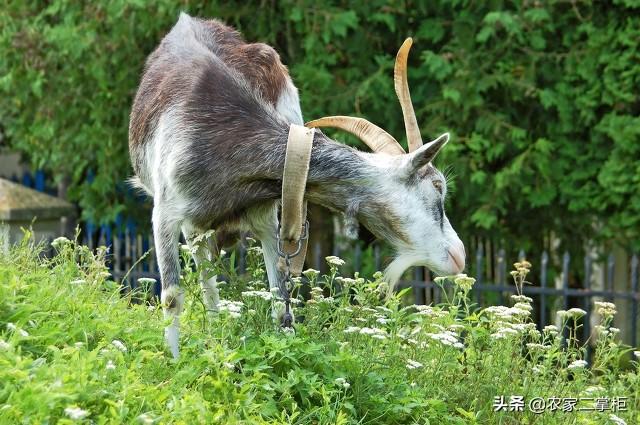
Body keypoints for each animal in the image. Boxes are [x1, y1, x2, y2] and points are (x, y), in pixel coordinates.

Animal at [127, 13, 464, 356]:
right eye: (437, 188)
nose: (459, 255)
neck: (226, 137)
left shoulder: (268, 214)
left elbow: (281, 296)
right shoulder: (165, 213)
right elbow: (172, 297)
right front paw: (174, 360)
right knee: (207, 280)